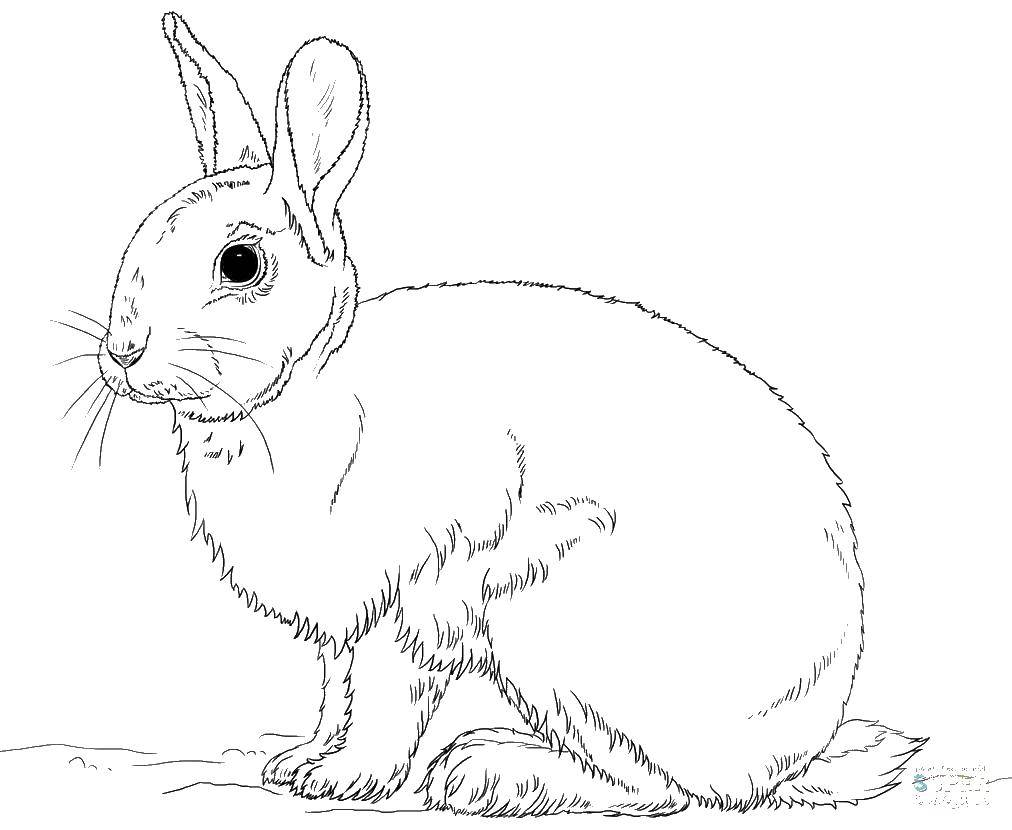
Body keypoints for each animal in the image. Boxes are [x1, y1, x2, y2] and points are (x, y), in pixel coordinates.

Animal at [91, 12, 926, 816]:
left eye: (240, 264)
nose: (121, 351)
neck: (305, 390)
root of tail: (790, 753)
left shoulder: (414, 594)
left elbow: (385, 700)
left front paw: (346, 781)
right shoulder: (344, 624)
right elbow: (337, 693)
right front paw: (298, 763)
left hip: (558, 622)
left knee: (658, 788)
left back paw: (490, 774)